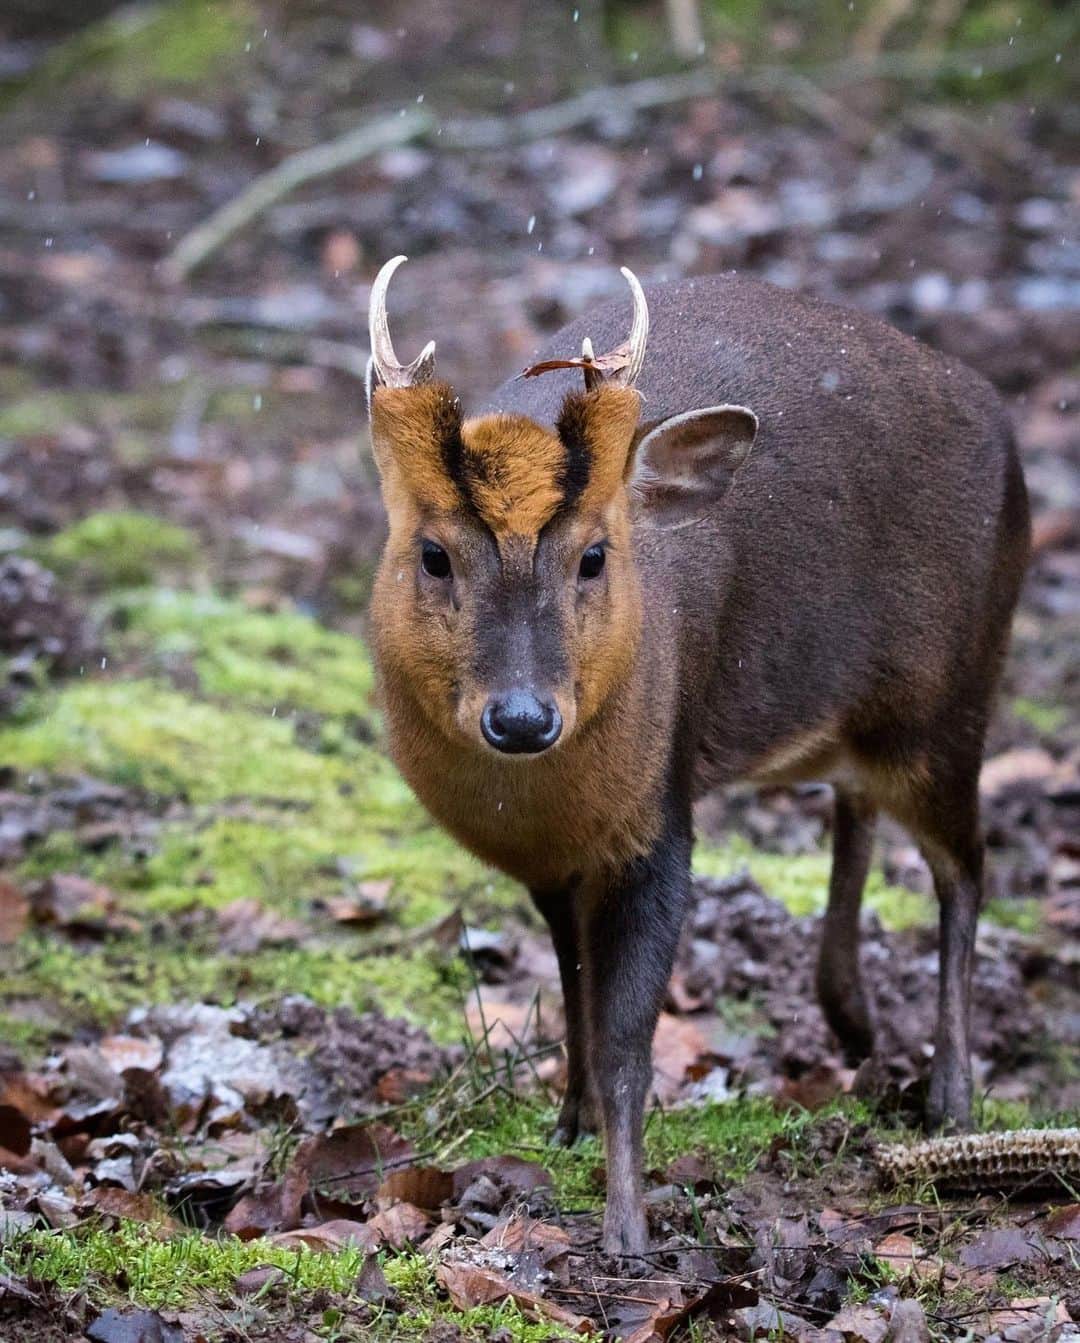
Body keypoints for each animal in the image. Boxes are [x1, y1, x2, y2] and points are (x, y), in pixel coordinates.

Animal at [364, 256, 1031, 1257]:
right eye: (435, 555)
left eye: (595, 556)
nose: (521, 719)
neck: (537, 808)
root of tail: (1005, 426)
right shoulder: (553, 863)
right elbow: (575, 990)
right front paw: (566, 1124)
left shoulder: (658, 818)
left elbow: (627, 1037)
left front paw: (627, 1227)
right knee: (856, 804)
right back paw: (853, 1023)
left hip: (951, 700)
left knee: (966, 864)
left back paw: (951, 1099)